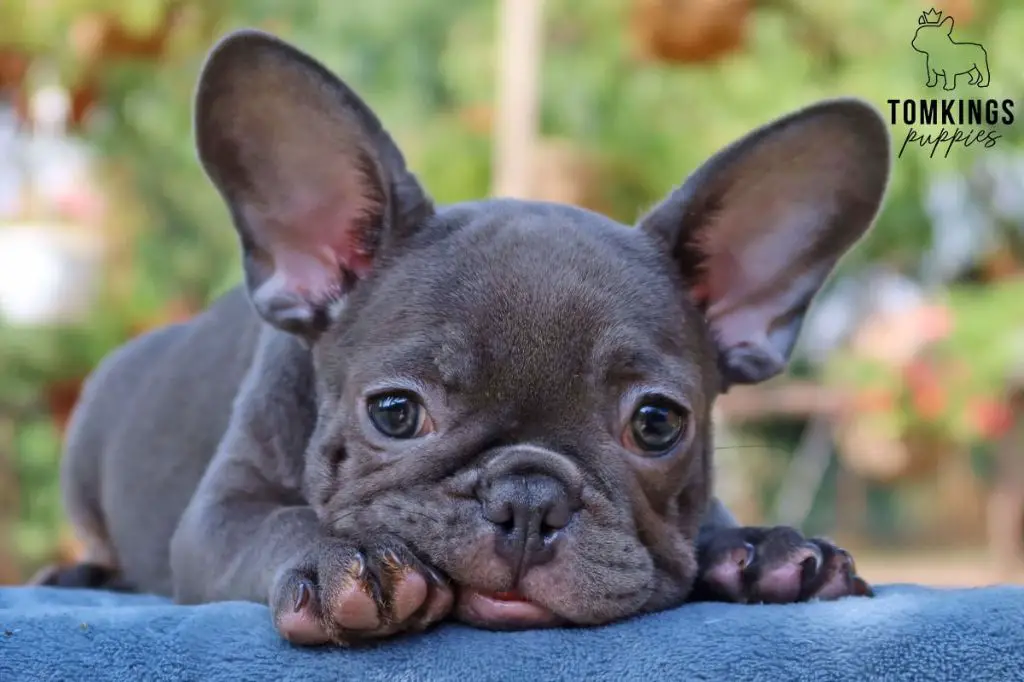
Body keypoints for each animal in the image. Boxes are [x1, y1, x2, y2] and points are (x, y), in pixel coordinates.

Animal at [34, 27, 888, 643]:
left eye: (656, 424)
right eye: (395, 413)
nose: (529, 501)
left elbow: (705, 520)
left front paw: (762, 550)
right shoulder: (220, 516)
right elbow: (281, 522)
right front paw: (346, 559)